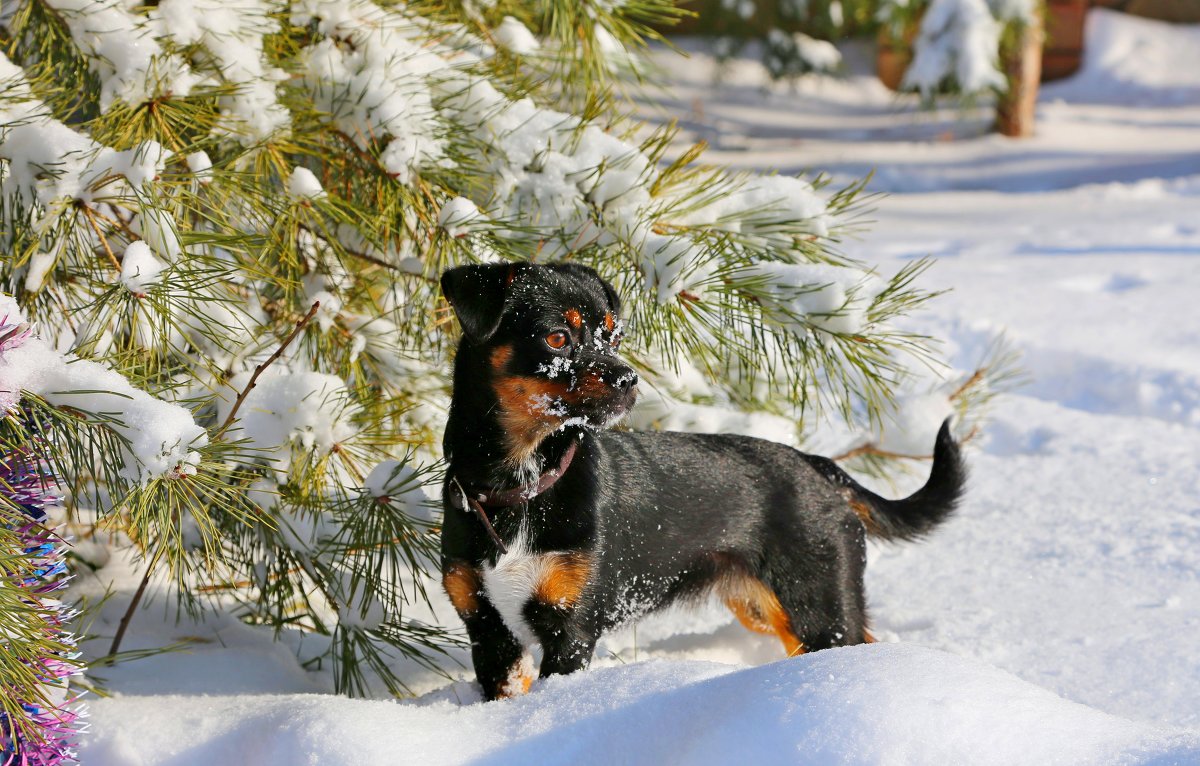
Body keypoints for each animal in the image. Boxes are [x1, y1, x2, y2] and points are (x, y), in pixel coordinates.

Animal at [441, 264, 964, 701]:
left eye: (612, 336)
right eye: (556, 337)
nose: (629, 379)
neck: (521, 484)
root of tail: (816, 465)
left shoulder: (570, 631)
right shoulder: (489, 634)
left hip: (818, 602)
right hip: (767, 606)